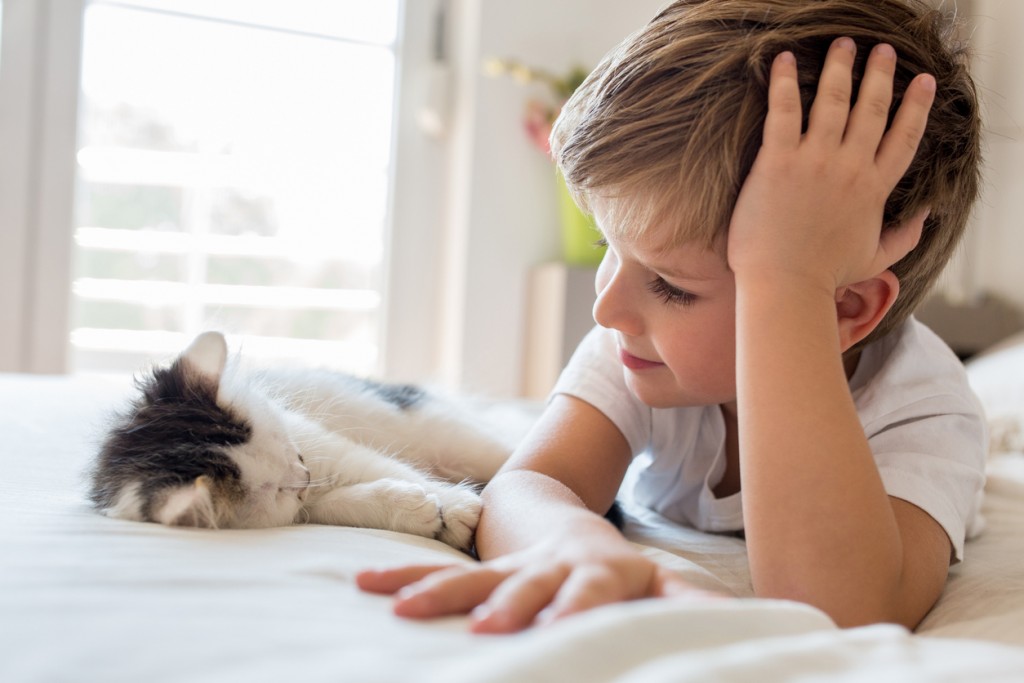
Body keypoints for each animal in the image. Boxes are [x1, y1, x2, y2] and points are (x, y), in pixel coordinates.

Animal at [89, 327, 532, 552]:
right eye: (278, 490)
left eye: (281, 440)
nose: (302, 473)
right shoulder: (307, 506)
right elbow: (345, 505)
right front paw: (418, 512)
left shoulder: (332, 448)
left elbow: (396, 470)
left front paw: (454, 508)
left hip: (451, 433)